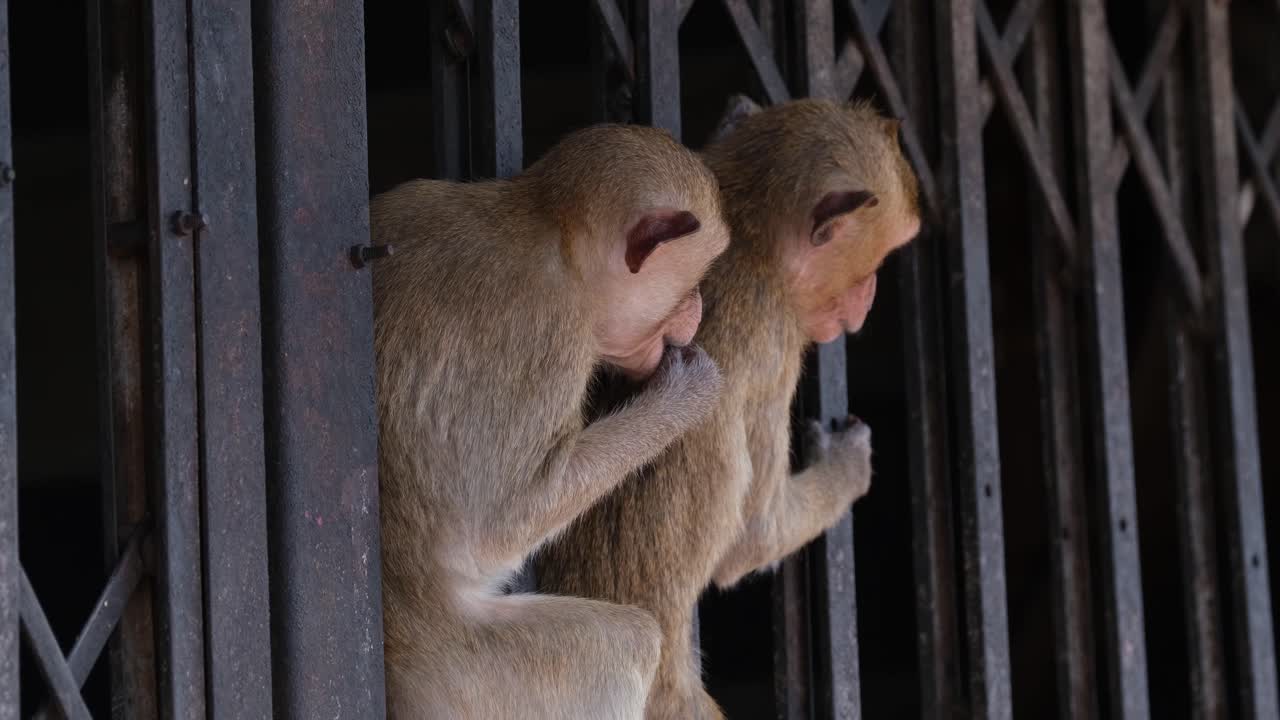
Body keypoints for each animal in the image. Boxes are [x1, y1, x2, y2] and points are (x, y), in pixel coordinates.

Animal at [370, 124, 730, 720]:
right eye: (691, 283)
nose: (698, 308)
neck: (547, 231)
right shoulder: (550, 333)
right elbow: (497, 526)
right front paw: (685, 396)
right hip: (474, 680)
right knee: (627, 643)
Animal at [536, 97, 922, 719]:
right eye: (875, 264)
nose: (869, 302)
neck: (754, 239)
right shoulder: (774, 338)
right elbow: (755, 538)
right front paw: (845, 466)